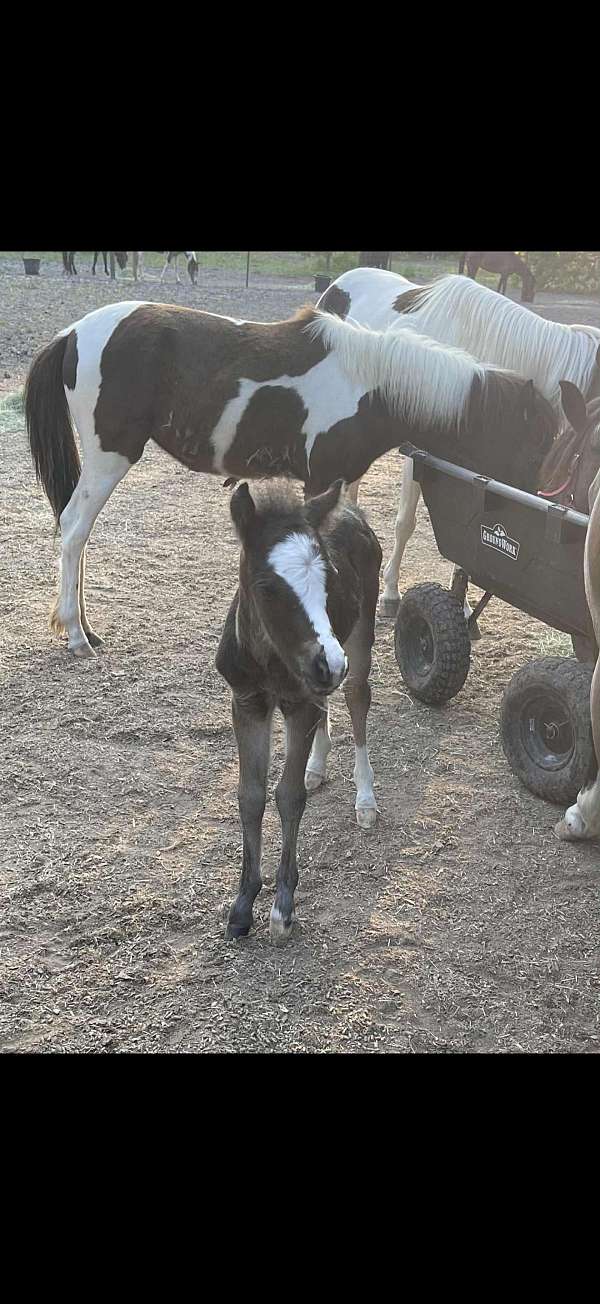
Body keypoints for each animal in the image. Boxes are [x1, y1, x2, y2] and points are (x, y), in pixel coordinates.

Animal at [25, 299, 559, 660]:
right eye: (535, 442)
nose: (529, 504)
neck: (372, 385)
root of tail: (73, 333)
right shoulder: (320, 479)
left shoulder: (343, 480)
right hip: (109, 458)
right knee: (73, 531)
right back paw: (76, 635)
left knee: (78, 535)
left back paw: (83, 627)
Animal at [216, 477, 381, 941]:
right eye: (267, 587)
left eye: (330, 580)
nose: (330, 662)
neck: (268, 660)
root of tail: (349, 507)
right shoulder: (247, 703)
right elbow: (250, 795)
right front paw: (242, 905)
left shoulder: (298, 702)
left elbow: (288, 796)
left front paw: (282, 907)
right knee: (328, 700)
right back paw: (317, 765)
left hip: (359, 634)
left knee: (356, 697)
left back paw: (365, 797)